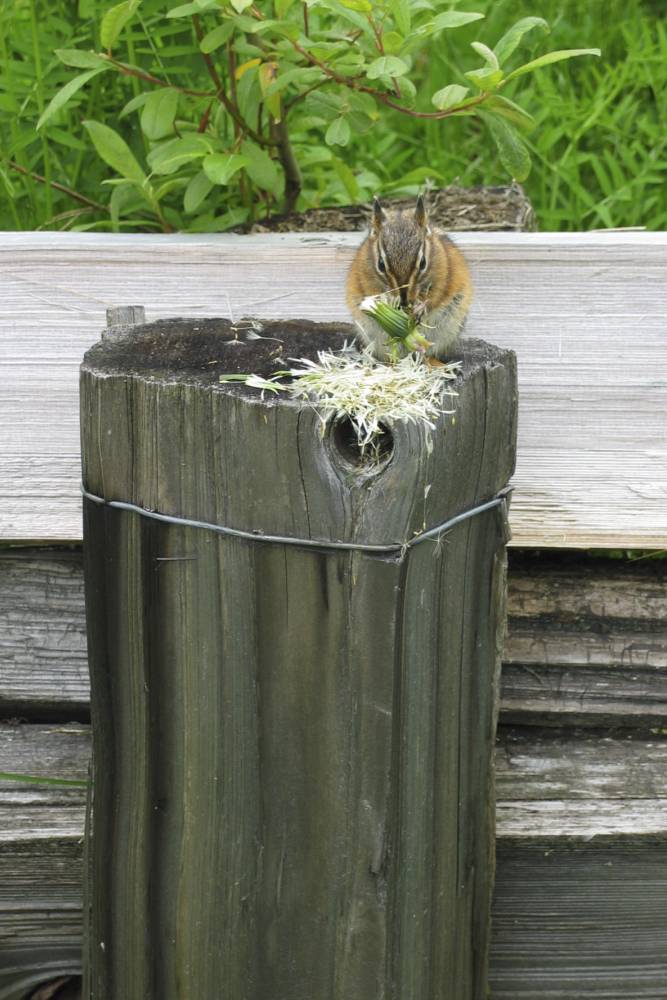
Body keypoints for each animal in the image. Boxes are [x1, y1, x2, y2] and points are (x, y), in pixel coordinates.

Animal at [346, 196, 473, 362]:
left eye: (423, 262)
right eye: (380, 264)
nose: (405, 300)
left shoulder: (444, 275)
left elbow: (435, 296)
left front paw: (420, 307)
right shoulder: (364, 278)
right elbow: (371, 291)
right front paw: (389, 301)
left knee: (427, 352)